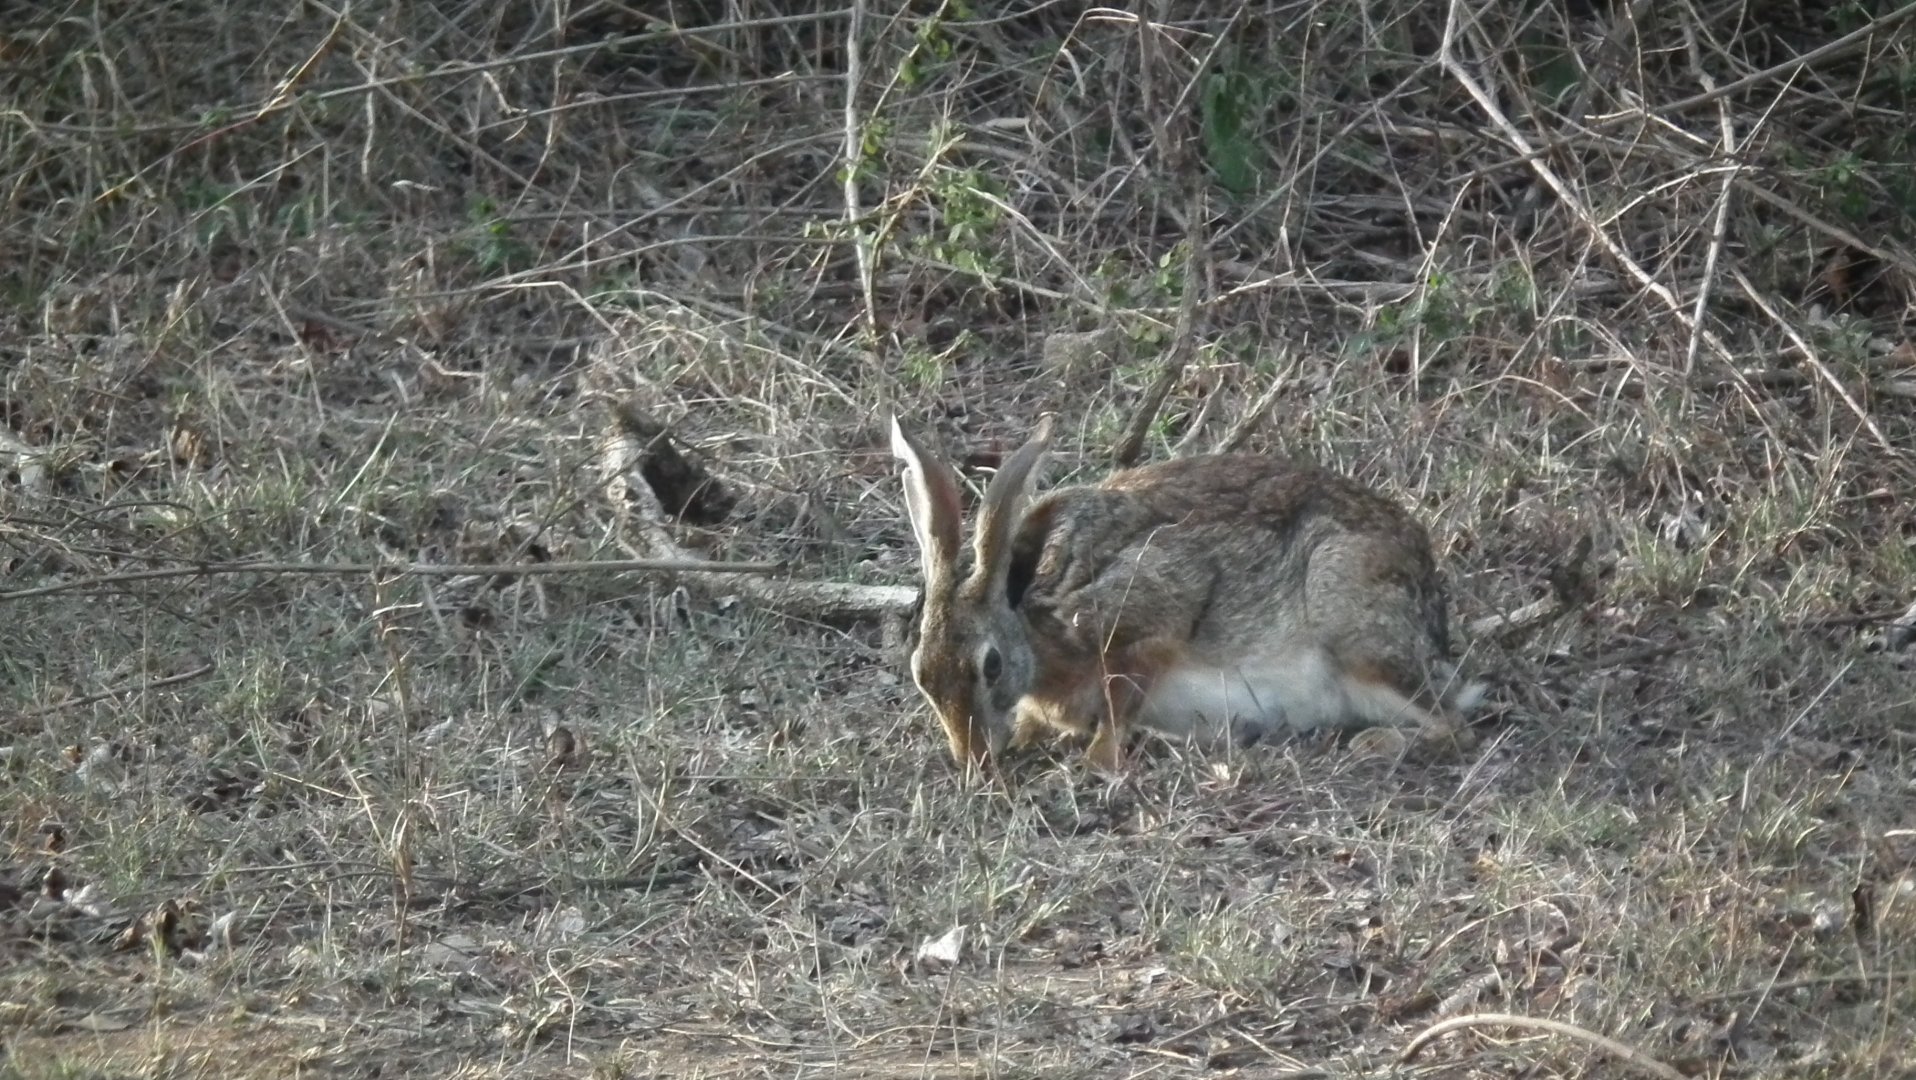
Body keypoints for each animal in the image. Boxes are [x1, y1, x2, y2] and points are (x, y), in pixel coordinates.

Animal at [891, 414, 1481, 773]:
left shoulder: (1147, 628)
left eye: (990, 666)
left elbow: (1122, 699)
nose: (971, 757)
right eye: (920, 673)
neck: (1028, 618)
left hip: (1353, 622)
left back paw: (1374, 744)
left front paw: (1099, 761)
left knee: (1453, 726)